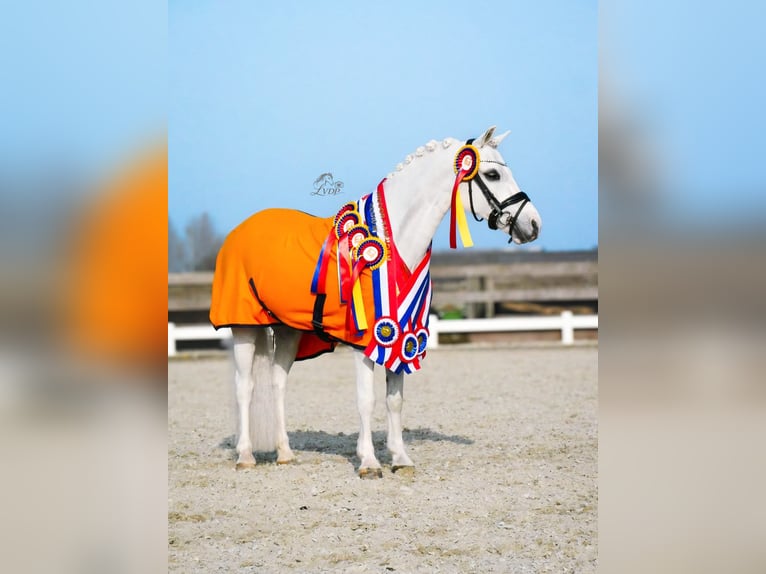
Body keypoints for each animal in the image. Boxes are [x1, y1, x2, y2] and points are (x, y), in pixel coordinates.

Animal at [210, 126, 542, 478]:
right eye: (492, 175)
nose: (533, 225)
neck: (393, 246)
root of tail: (238, 231)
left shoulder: (401, 337)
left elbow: (394, 400)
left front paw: (400, 458)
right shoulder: (364, 343)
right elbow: (366, 400)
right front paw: (368, 462)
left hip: (288, 330)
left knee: (278, 383)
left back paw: (285, 453)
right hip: (244, 327)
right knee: (245, 387)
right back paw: (246, 456)